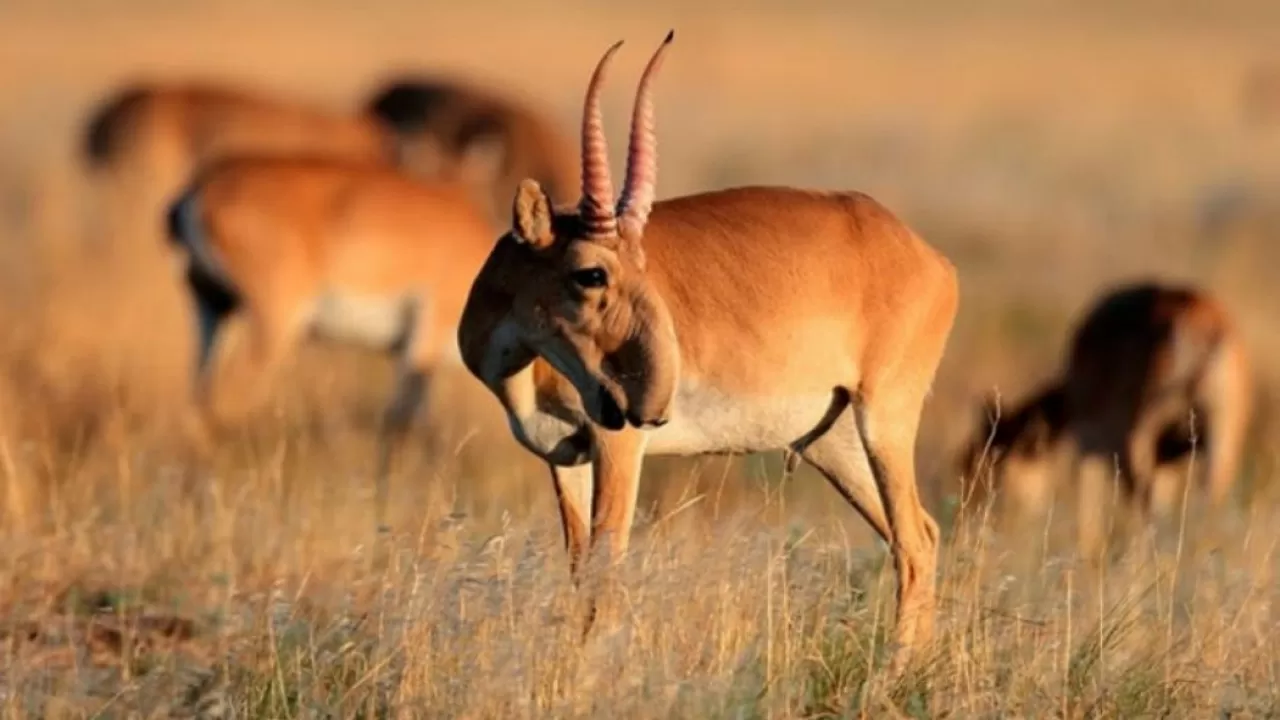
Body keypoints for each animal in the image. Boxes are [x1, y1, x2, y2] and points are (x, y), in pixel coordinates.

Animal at [168, 151, 504, 525]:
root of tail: (199, 190)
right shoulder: (423, 342)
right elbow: (398, 425)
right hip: (275, 325)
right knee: (219, 405)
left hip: (213, 313)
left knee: (196, 402)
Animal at [455, 33, 957, 661]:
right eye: (591, 272)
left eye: (640, 265)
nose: (652, 402)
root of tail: (927, 256)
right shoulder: (563, 457)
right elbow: (577, 569)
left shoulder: (617, 446)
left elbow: (605, 570)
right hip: (833, 444)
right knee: (921, 534)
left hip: (883, 420)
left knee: (913, 541)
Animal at [962, 280, 1249, 556]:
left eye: (992, 459)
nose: (971, 511)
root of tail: (1201, 321)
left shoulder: (1087, 448)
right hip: (1219, 445)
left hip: (1138, 442)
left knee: (1144, 506)